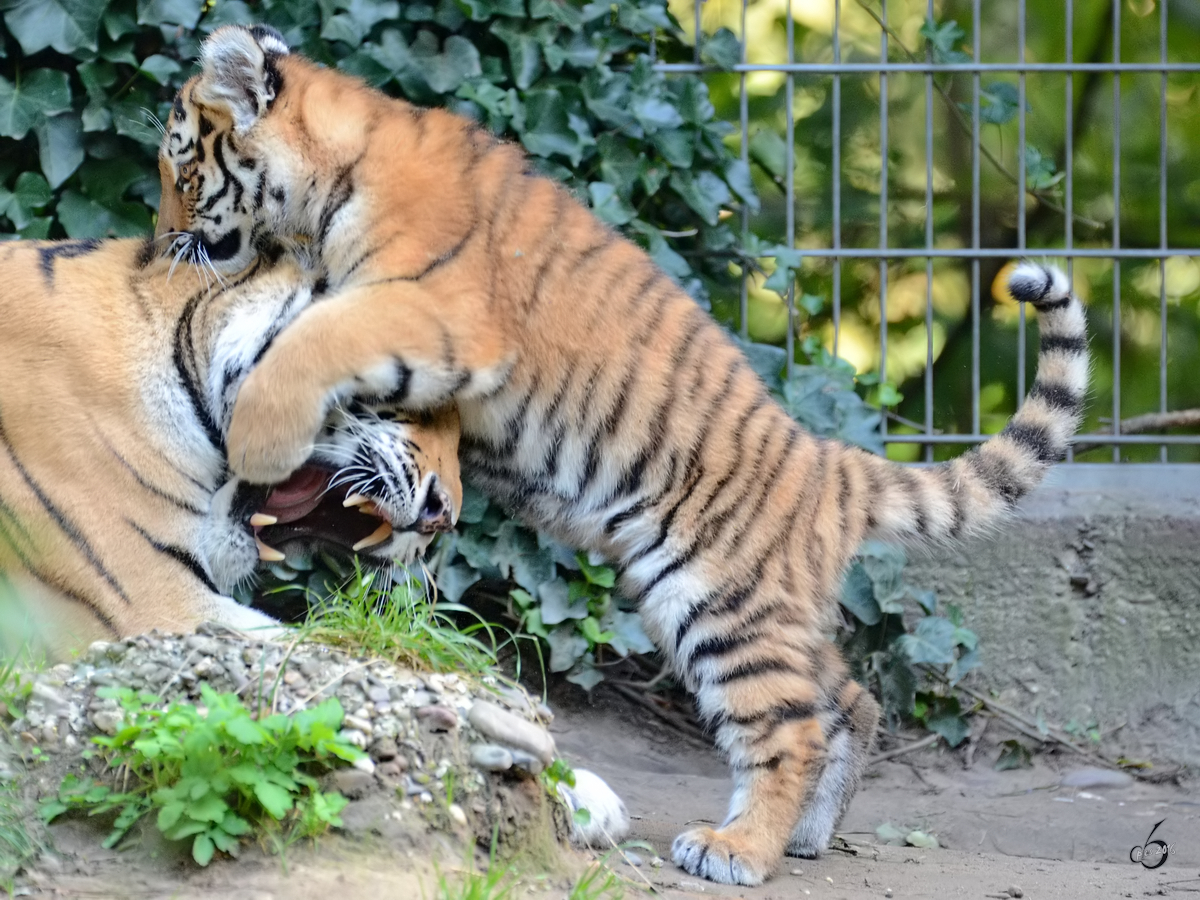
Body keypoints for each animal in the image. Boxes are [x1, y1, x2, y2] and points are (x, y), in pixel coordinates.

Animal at [157, 28, 1089, 888]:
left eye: (182, 170)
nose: (164, 240)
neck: (331, 179)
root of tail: (829, 462)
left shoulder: (428, 313)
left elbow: (312, 346)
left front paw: (257, 438)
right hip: (770, 608)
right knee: (847, 699)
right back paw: (808, 835)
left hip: (722, 602)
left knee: (785, 728)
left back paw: (738, 851)